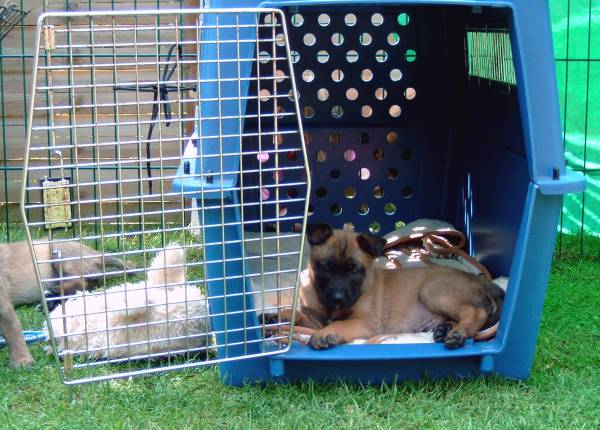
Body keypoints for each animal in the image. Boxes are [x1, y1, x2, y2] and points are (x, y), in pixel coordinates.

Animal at [0, 239, 129, 368]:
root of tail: (95, 253)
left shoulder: (4, 306)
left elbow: (13, 331)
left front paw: (22, 360)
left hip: (58, 255)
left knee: (80, 282)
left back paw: (52, 294)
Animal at [274, 224, 504, 350]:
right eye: (326, 268)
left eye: (354, 271)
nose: (338, 298)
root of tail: (482, 280)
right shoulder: (316, 319)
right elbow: (298, 314)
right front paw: (278, 317)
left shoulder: (367, 323)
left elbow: (339, 325)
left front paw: (325, 334)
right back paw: (445, 328)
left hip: (431, 290)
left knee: (477, 312)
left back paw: (458, 333)